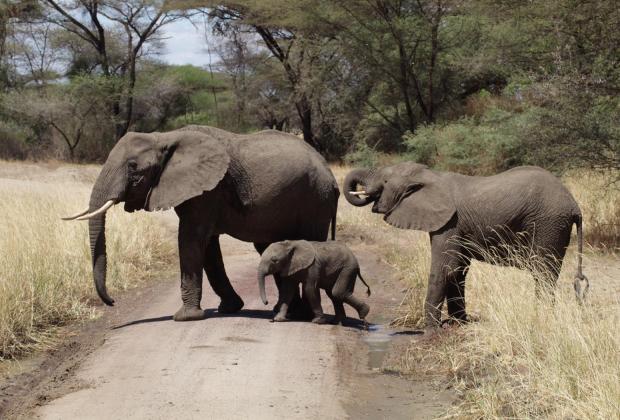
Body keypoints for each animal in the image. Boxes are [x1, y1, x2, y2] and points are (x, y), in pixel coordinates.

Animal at [63, 124, 340, 322]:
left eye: (132, 167)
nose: (112, 302)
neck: (164, 137)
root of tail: (332, 177)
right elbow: (207, 247)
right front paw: (229, 308)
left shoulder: (208, 191)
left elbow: (190, 239)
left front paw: (185, 317)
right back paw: (286, 311)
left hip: (316, 199)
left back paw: (302, 315)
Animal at [342, 162, 588, 326]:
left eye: (385, 182)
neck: (430, 175)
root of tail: (575, 205)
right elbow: (458, 270)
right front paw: (459, 323)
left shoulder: (449, 223)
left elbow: (446, 269)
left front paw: (431, 330)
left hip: (549, 224)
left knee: (542, 274)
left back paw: (539, 318)